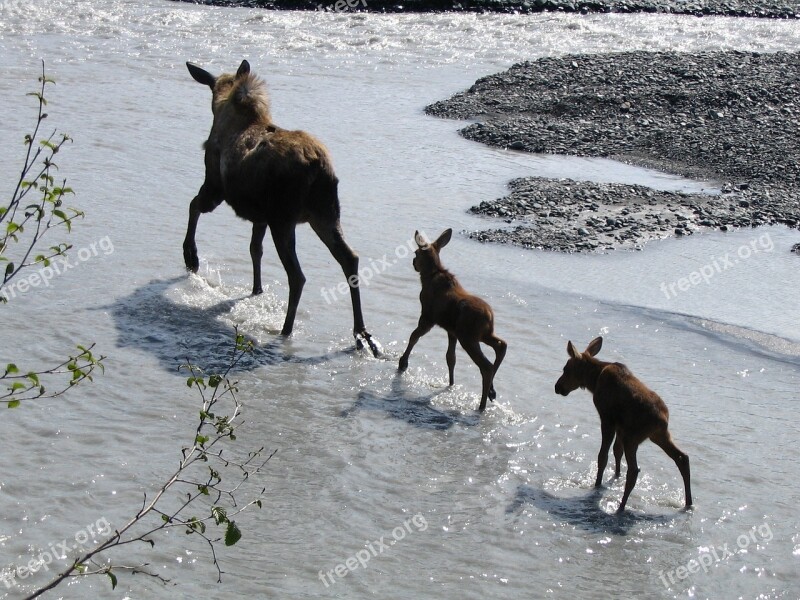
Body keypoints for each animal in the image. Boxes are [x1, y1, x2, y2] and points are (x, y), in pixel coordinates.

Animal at [183, 59, 380, 356]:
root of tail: (318, 167)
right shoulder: (259, 216)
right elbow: (255, 249)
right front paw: (256, 289)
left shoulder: (216, 187)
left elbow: (193, 206)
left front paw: (191, 257)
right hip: (325, 215)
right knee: (350, 258)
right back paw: (361, 332)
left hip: (284, 220)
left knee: (297, 276)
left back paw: (286, 330)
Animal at [398, 227, 506, 410]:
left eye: (416, 252)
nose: (413, 263)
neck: (428, 277)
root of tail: (489, 316)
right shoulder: (451, 331)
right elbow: (451, 358)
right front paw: (451, 383)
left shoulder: (428, 316)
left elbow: (414, 336)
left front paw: (402, 363)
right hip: (483, 334)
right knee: (501, 345)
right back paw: (492, 392)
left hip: (468, 337)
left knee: (486, 366)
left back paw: (482, 405)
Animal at [552, 336, 692, 512]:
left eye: (566, 369)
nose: (557, 387)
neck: (593, 381)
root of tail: (662, 420)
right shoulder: (620, 427)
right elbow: (616, 452)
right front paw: (615, 476)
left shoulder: (607, 419)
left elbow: (603, 456)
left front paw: (597, 484)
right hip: (659, 436)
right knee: (683, 458)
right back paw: (688, 503)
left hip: (633, 438)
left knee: (634, 470)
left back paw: (621, 507)